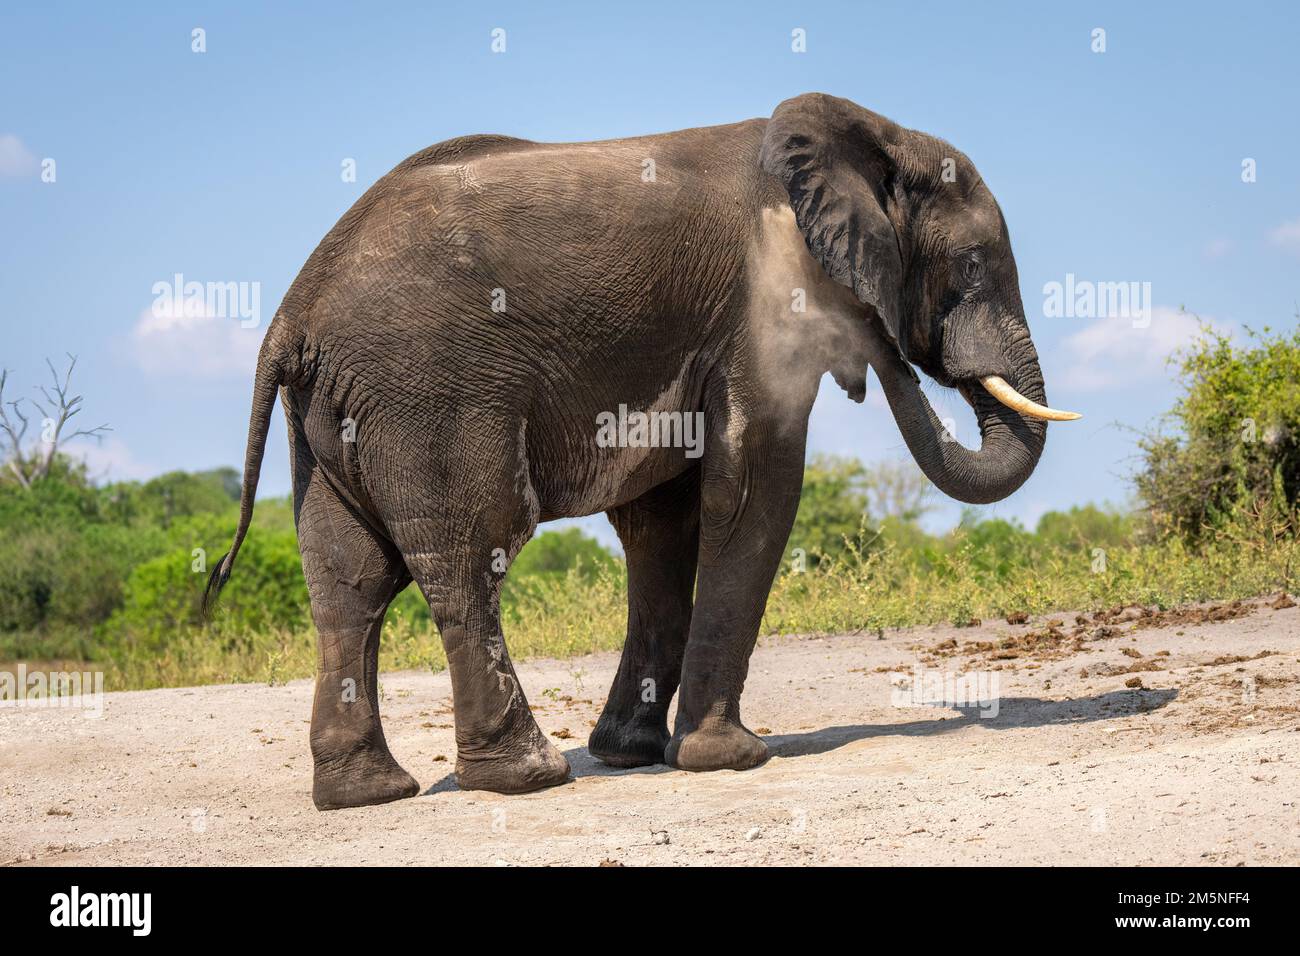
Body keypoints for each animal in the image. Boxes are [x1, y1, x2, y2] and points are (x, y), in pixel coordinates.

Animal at [206, 92, 1078, 810]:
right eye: (972, 265)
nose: (882, 345)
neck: (866, 137)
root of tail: (291, 313)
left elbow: (664, 523)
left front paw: (633, 754)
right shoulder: (760, 308)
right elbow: (754, 488)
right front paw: (732, 759)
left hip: (333, 418)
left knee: (346, 579)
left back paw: (368, 793)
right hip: (429, 393)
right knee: (470, 553)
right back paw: (529, 776)